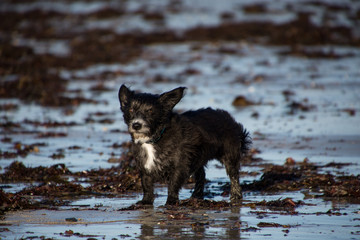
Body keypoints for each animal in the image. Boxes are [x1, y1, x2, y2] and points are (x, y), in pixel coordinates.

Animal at [118, 84, 250, 204]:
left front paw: (171, 201)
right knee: (201, 175)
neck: (154, 138)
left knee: (234, 176)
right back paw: (196, 195)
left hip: (229, 155)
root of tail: (228, 118)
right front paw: (146, 201)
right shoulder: (145, 167)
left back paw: (236, 196)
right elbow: (146, 184)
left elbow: (173, 184)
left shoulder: (179, 166)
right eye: (130, 110)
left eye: (150, 111)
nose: (136, 125)